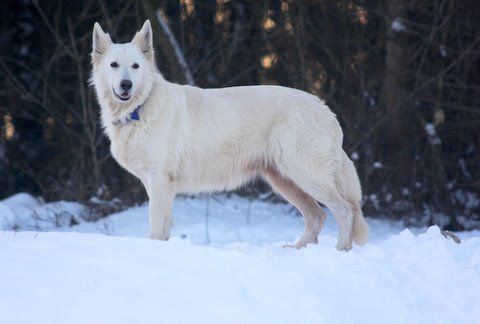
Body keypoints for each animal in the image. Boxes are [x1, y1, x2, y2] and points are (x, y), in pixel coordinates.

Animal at [89, 19, 368, 251]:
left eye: (135, 66)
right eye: (114, 65)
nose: (126, 85)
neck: (141, 106)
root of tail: (326, 110)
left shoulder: (159, 180)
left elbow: (156, 225)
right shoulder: (157, 184)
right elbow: (164, 226)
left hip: (305, 174)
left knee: (344, 210)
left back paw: (340, 251)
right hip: (284, 180)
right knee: (317, 216)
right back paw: (297, 250)